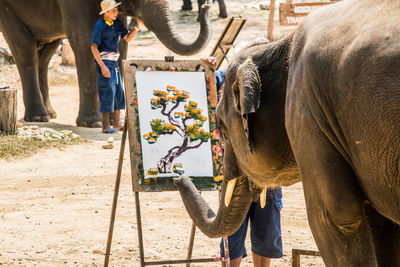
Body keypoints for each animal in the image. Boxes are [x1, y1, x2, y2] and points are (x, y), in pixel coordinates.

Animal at [0, 0, 212, 127]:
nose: (206, 7)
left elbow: (121, 44)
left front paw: (112, 121)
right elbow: (84, 40)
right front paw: (93, 124)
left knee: (45, 53)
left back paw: (50, 115)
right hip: (8, 9)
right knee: (25, 50)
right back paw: (38, 117)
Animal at [174, 1, 400, 266]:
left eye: (221, 126)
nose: (178, 173)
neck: (284, 45)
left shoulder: (309, 115)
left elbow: (333, 218)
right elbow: (383, 226)